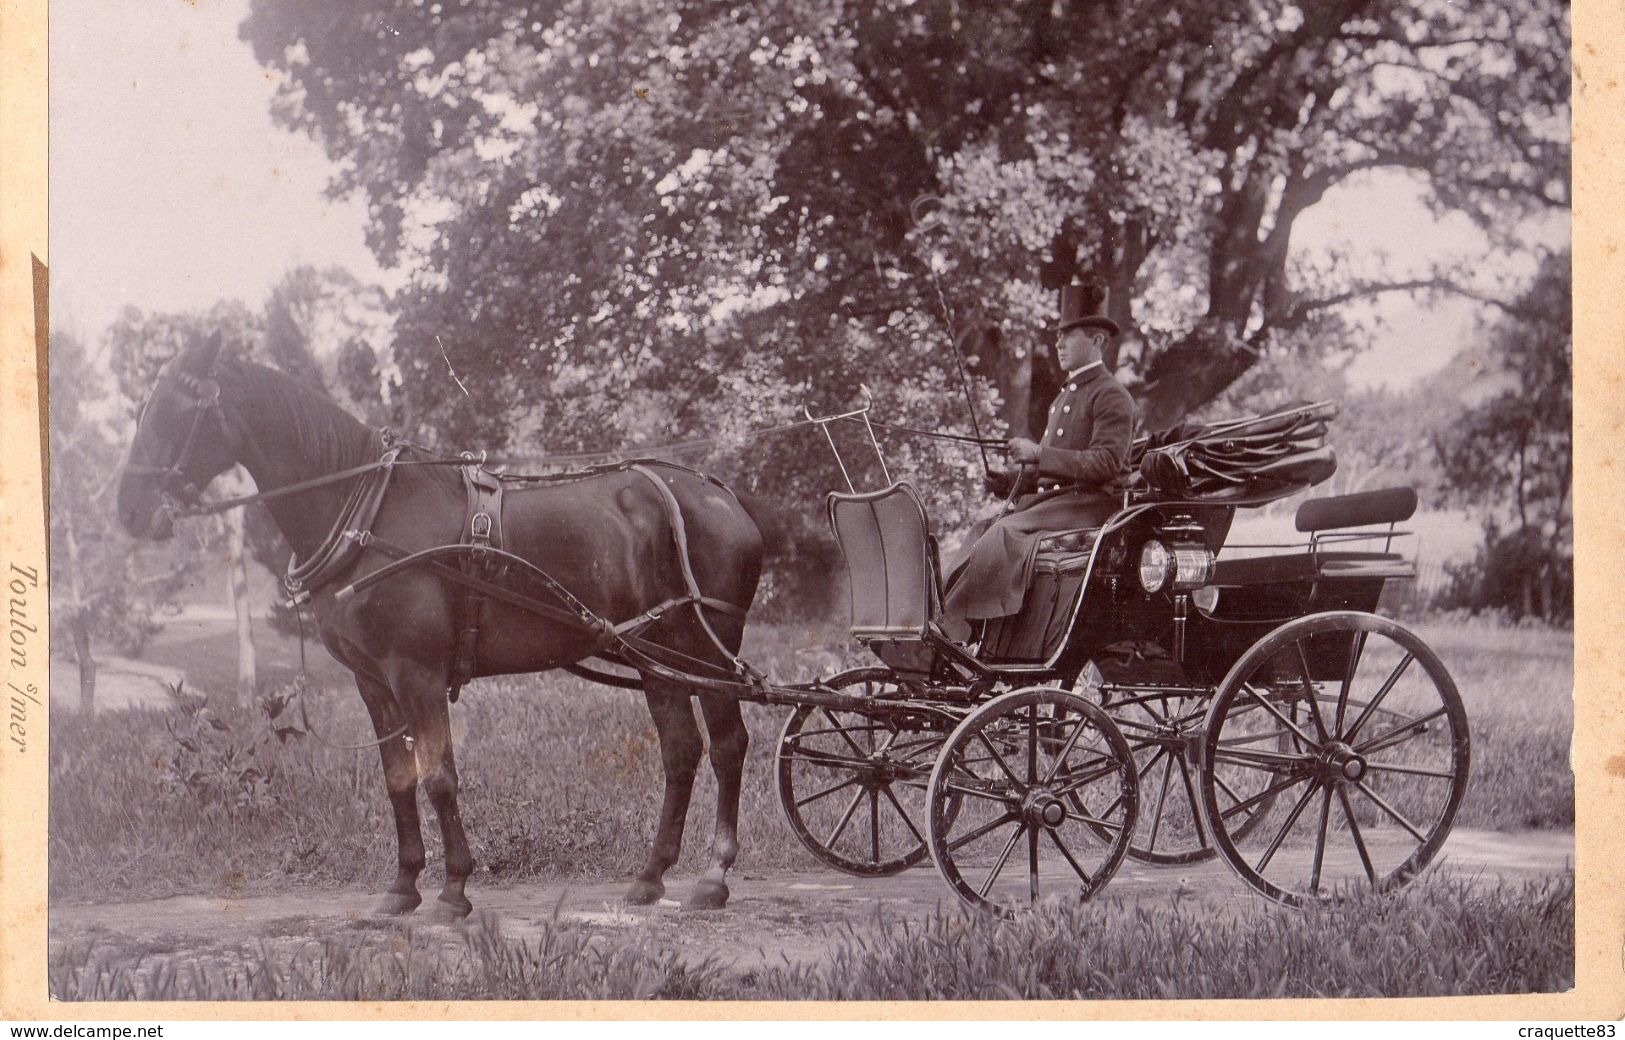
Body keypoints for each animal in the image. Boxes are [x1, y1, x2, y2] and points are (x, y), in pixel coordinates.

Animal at [117, 333, 763, 916]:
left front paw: (454, 889)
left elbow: (439, 776)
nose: (129, 511)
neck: (369, 511)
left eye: (177, 407)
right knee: (681, 751)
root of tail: (722, 498)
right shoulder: (374, 681)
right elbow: (399, 780)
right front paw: (403, 886)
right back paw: (651, 876)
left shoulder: (417, 673)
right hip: (659, 657)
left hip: (708, 652)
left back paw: (714, 876)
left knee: (729, 744)